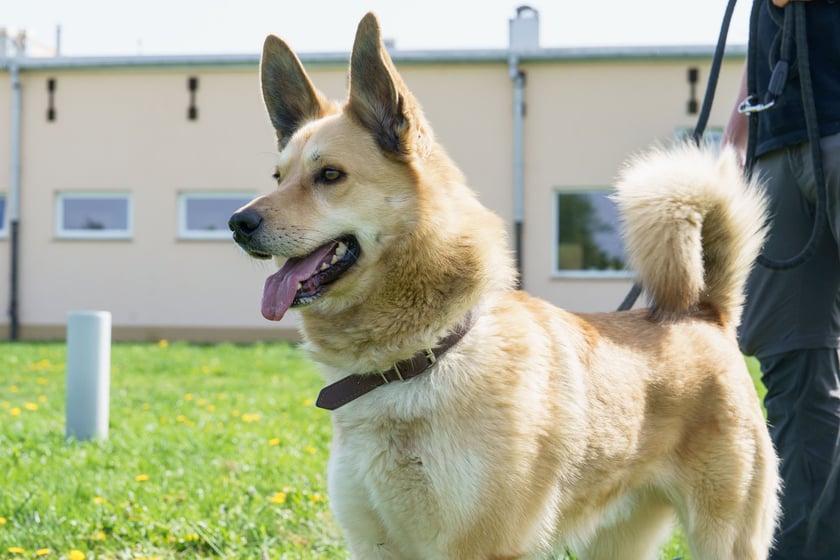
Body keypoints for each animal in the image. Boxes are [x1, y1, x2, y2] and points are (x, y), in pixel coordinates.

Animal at [230, 13, 780, 560]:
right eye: (278, 177)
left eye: (330, 175)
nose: (237, 223)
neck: (417, 358)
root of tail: (705, 314)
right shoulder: (374, 543)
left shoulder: (482, 545)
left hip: (725, 538)